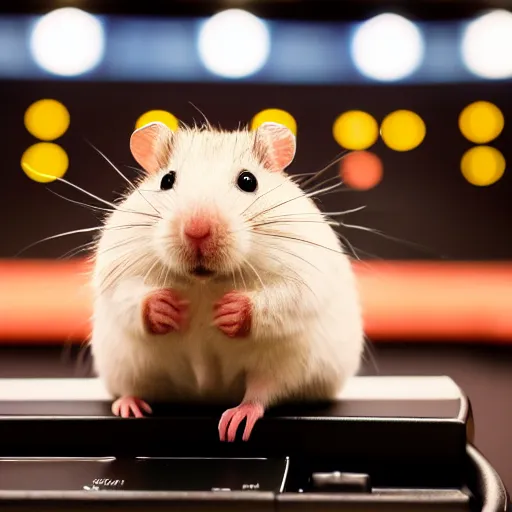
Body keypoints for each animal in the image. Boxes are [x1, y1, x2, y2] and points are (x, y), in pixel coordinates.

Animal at [91, 120, 364, 440]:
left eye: (248, 181)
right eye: (167, 180)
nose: (197, 230)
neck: (205, 282)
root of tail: (207, 396)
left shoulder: (304, 276)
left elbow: (282, 300)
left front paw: (227, 312)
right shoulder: (116, 266)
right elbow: (128, 296)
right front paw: (168, 307)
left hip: (288, 365)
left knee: (262, 392)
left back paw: (237, 421)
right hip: (126, 364)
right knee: (131, 387)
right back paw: (129, 406)